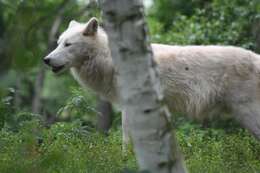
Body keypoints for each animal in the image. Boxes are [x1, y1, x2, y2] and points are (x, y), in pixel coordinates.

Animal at [44, 16, 260, 140]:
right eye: (58, 42)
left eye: (68, 44)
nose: (46, 60)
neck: (110, 60)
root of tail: (256, 57)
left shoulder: (131, 107)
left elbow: (127, 139)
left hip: (248, 114)